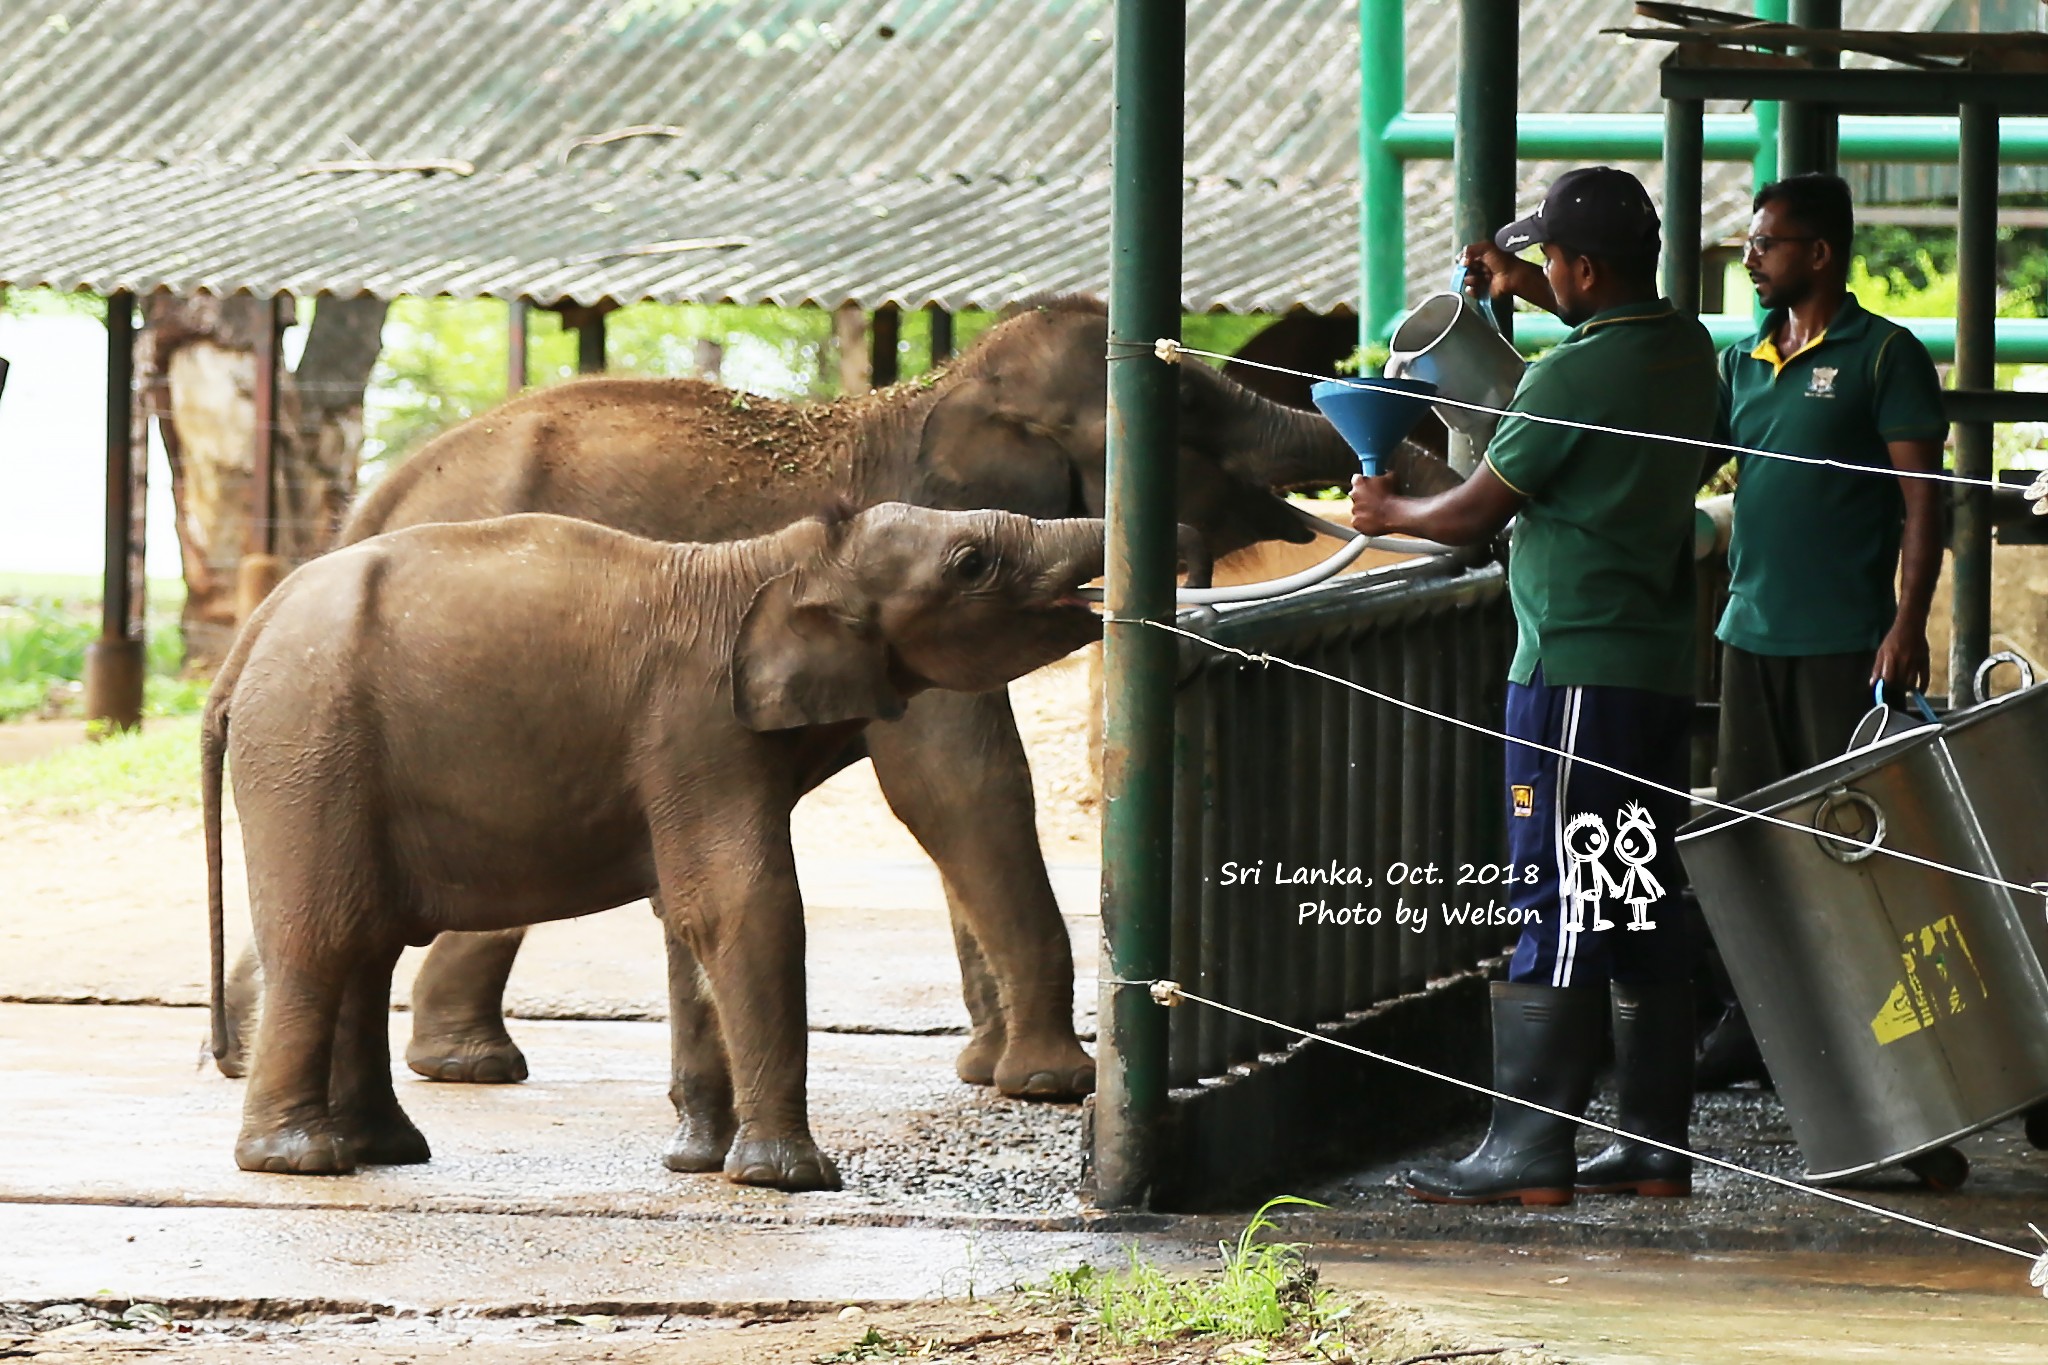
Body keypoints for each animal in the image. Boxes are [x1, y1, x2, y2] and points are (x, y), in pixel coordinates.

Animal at [203, 505, 1105, 1195]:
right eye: (972, 561)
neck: (786, 556)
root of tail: (249, 637)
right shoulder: (697, 725)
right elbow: (744, 903)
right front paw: (788, 1179)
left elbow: (688, 917)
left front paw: (699, 1164)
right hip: (309, 742)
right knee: (325, 939)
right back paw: (300, 1162)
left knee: (368, 945)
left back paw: (385, 1150)